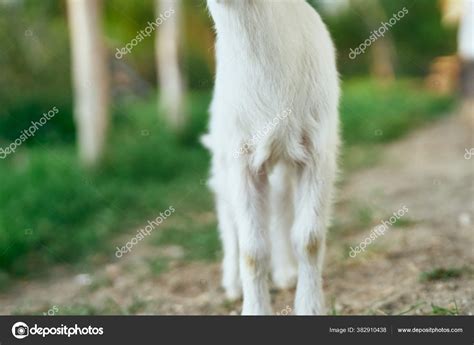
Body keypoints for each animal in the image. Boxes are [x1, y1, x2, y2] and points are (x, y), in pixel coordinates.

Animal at [202, 0, 338, 314]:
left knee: (279, 202)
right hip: (221, 157)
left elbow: (310, 239)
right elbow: (252, 250)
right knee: (227, 215)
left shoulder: (318, 150)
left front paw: (310, 307)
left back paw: (286, 273)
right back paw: (231, 284)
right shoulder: (240, 157)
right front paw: (254, 308)